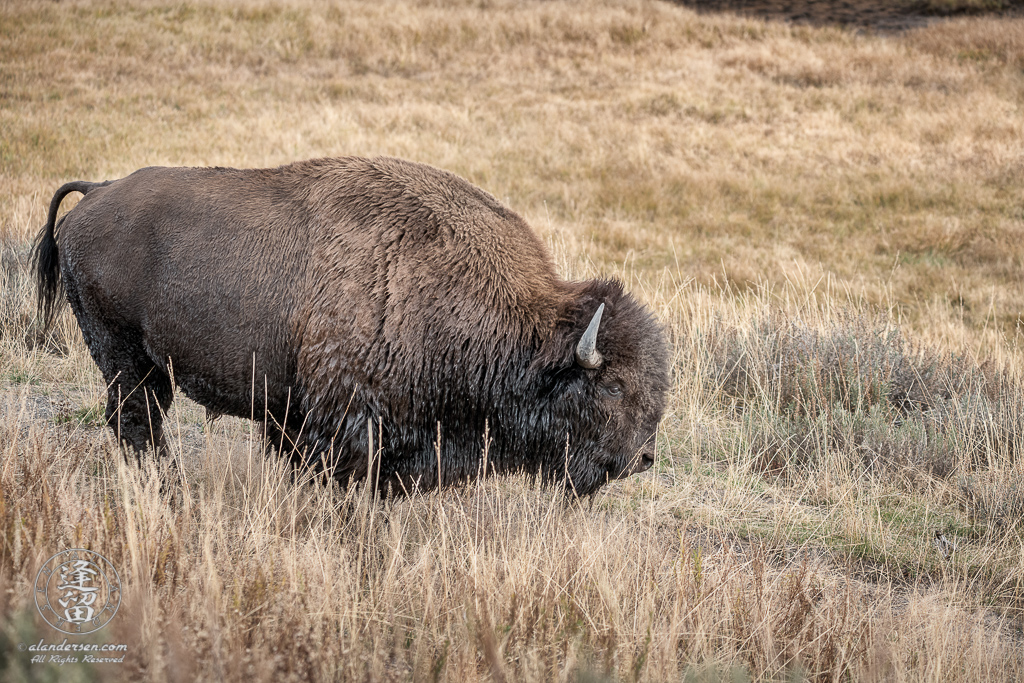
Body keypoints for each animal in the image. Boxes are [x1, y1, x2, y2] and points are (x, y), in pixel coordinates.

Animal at [34, 157, 671, 493]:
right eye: (613, 386)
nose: (643, 458)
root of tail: (99, 190)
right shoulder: (345, 422)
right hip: (124, 357)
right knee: (135, 422)